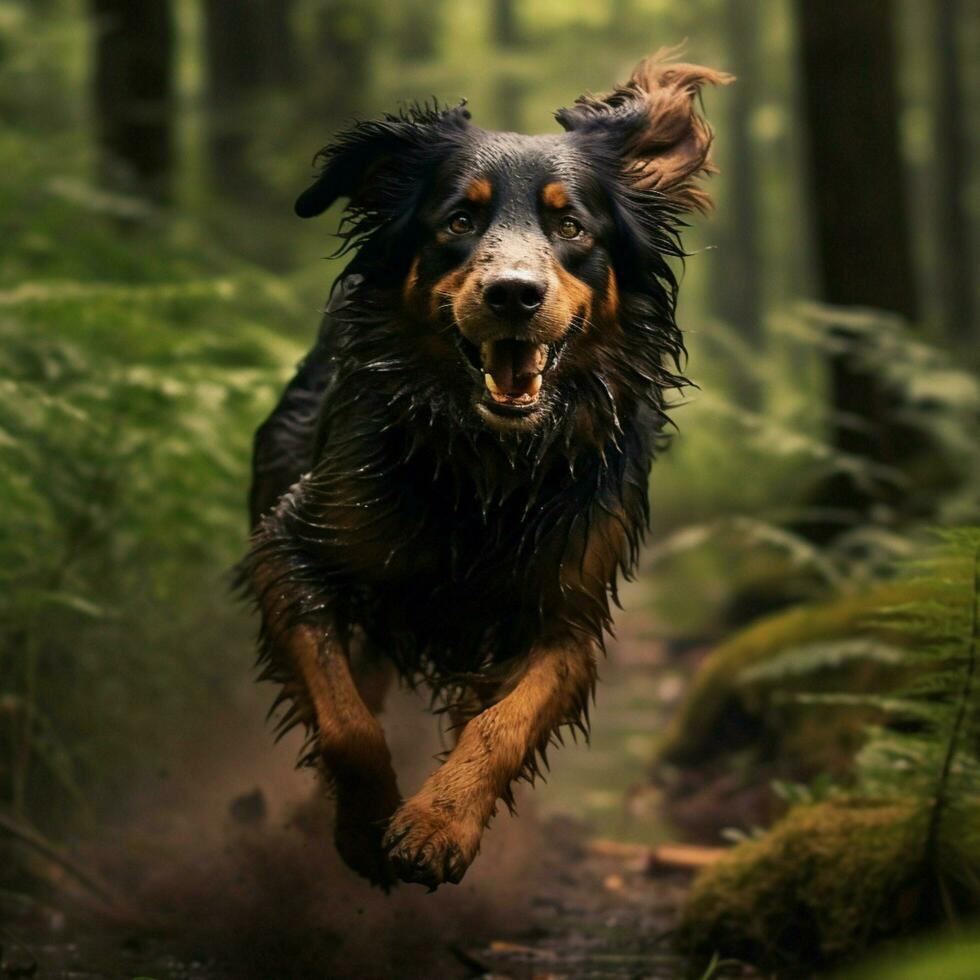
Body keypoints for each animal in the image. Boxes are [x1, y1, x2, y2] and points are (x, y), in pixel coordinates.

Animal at [240, 55, 728, 896]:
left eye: (572, 226)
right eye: (458, 222)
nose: (513, 295)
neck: (492, 466)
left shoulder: (566, 611)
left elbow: (502, 724)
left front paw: (439, 823)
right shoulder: (292, 548)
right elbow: (345, 720)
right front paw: (365, 828)